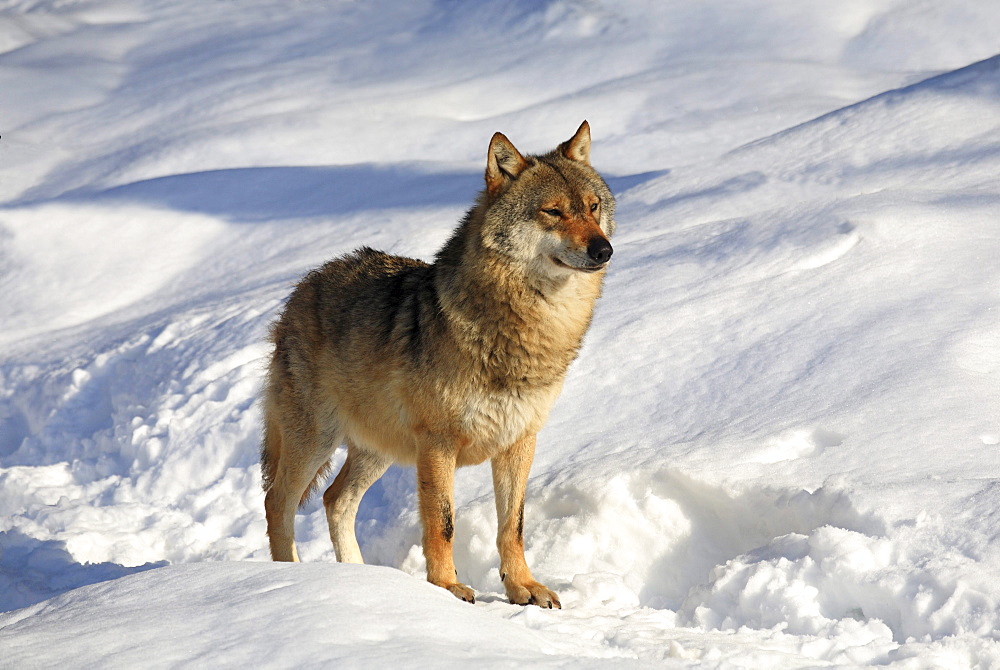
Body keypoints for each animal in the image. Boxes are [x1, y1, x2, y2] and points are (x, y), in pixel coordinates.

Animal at [262, 122, 612, 608]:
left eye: (593, 207)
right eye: (553, 212)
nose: (604, 249)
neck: (526, 333)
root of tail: (301, 289)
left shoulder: (520, 441)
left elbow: (514, 525)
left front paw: (523, 588)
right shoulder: (438, 444)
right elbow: (442, 523)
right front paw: (446, 587)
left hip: (376, 451)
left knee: (335, 500)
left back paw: (357, 579)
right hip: (316, 442)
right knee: (277, 503)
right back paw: (292, 578)